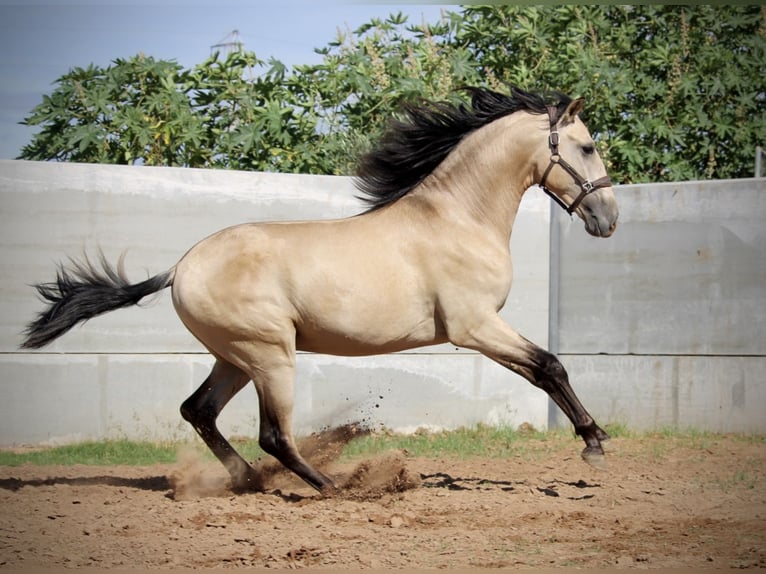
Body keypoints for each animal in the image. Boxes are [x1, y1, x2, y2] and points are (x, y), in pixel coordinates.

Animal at [22, 85, 616, 496]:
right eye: (587, 147)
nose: (608, 218)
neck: (456, 218)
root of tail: (180, 267)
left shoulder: (479, 329)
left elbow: (542, 370)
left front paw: (596, 439)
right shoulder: (474, 327)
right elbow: (550, 365)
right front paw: (594, 442)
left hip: (235, 357)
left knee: (199, 411)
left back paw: (250, 481)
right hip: (269, 355)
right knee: (273, 435)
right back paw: (336, 488)